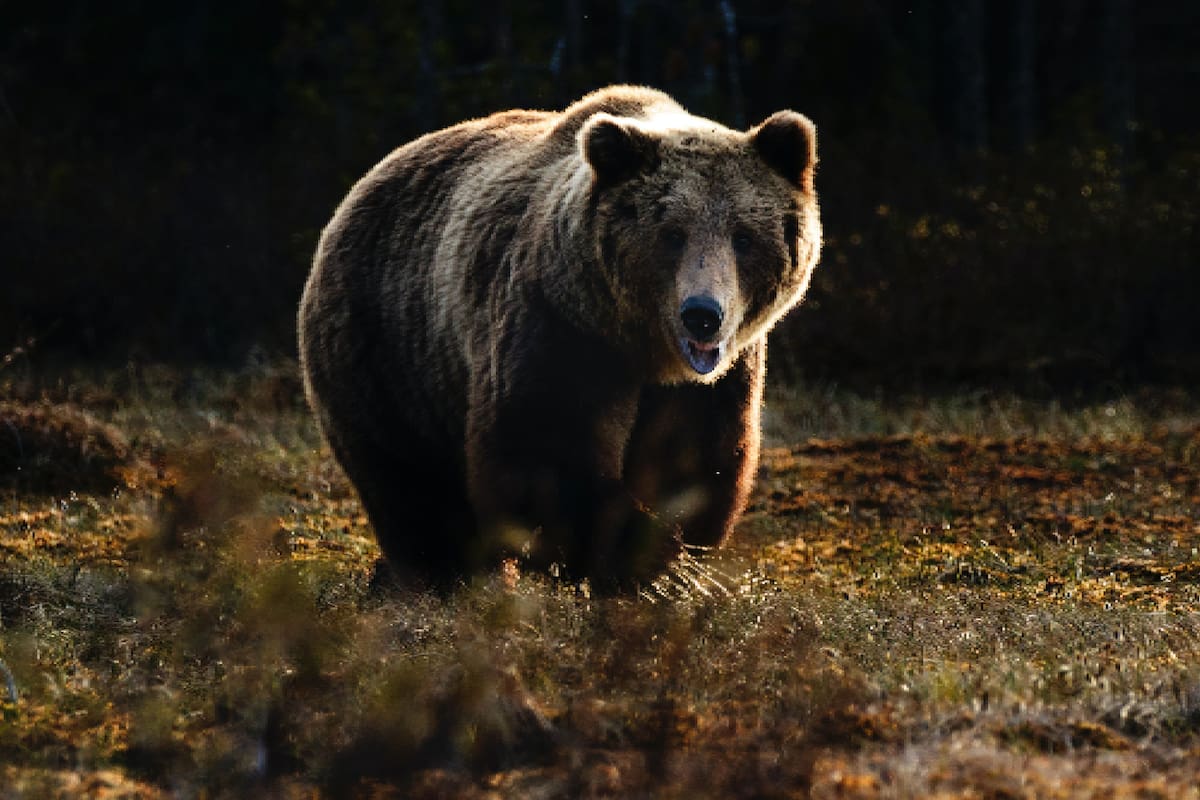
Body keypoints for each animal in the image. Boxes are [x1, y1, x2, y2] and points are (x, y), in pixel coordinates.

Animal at [298, 85, 821, 590]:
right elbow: (544, 450)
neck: (641, 346)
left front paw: (669, 560)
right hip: (387, 348)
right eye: (672, 234)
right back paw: (439, 575)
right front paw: (635, 560)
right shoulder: (558, 326)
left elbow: (693, 459)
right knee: (410, 483)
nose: (702, 316)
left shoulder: (714, 379)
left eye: (743, 236)